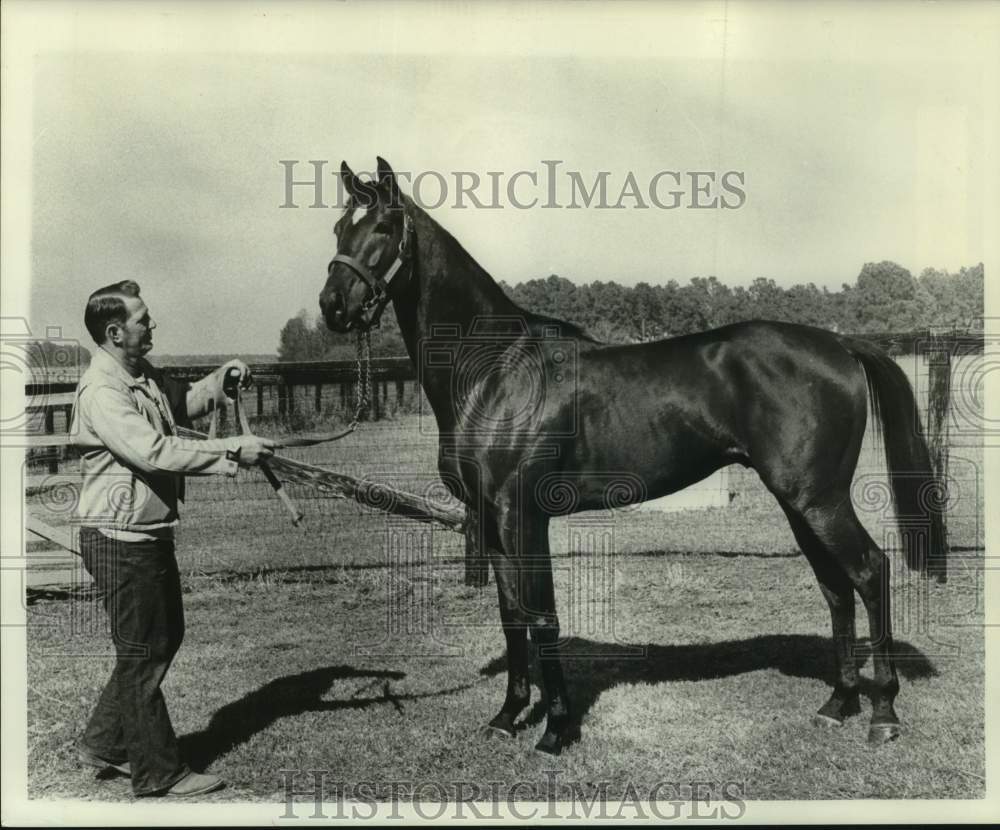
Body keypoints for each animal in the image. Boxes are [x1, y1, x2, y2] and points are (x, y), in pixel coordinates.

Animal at [320, 158, 944, 760]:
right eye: (338, 227)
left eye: (383, 226)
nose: (333, 306)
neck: (496, 369)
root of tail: (839, 344)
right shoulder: (491, 522)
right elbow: (512, 615)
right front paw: (506, 717)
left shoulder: (525, 516)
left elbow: (542, 616)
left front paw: (556, 730)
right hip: (800, 501)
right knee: (836, 585)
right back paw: (838, 704)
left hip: (818, 498)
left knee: (869, 571)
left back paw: (883, 714)